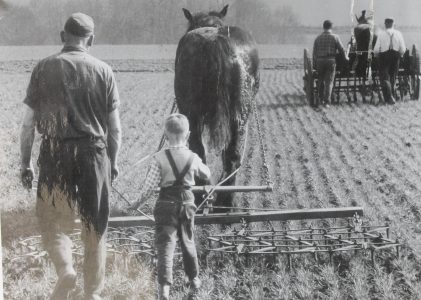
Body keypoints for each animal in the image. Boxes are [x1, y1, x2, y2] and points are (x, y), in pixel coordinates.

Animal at [174, 4, 260, 207]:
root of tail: (216, 41)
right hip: (238, 114)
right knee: (232, 154)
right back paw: (225, 199)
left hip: (192, 113)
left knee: (200, 150)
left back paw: (206, 196)